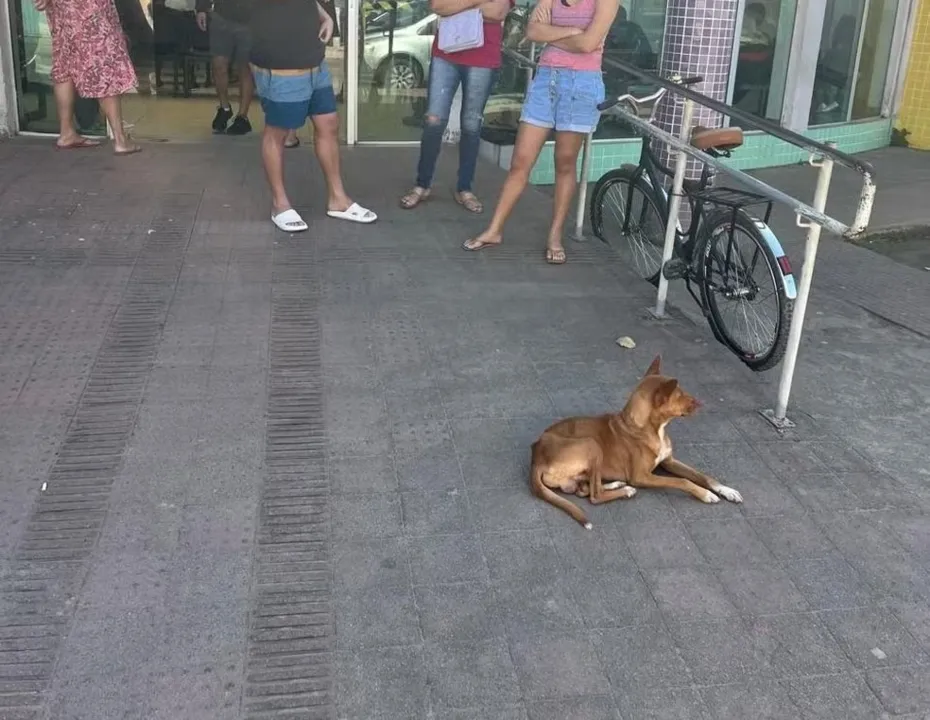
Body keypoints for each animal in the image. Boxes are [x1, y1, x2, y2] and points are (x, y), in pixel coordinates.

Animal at [528, 356, 740, 528]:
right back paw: (625, 490)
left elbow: (702, 475)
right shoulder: (641, 476)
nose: (700, 402)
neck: (651, 429)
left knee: (586, 489)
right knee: (594, 496)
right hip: (591, 444)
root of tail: (536, 457)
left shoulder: (669, 461)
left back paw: (617, 485)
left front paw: (726, 490)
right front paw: (705, 494)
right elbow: (683, 480)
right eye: (679, 395)